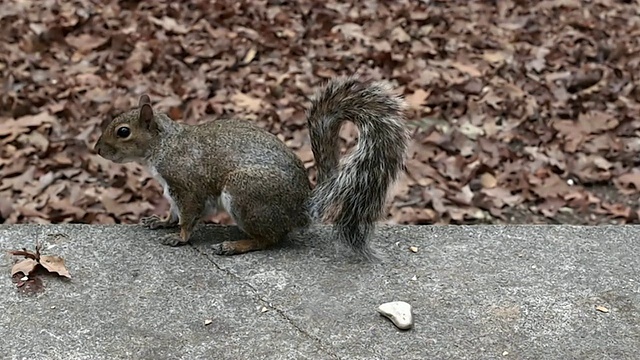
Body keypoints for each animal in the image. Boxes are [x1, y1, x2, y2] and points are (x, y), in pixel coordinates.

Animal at [93, 77, 408, 260]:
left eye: (123, 132)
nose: (97, 150)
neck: (165, 145)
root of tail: (302, 209)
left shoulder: (186, 184)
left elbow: (189, 215)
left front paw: (179, 237)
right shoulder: (171, 191)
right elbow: (173, 212)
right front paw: (160, 221)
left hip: (245, 193)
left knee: (270, 239)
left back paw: (235, 246)